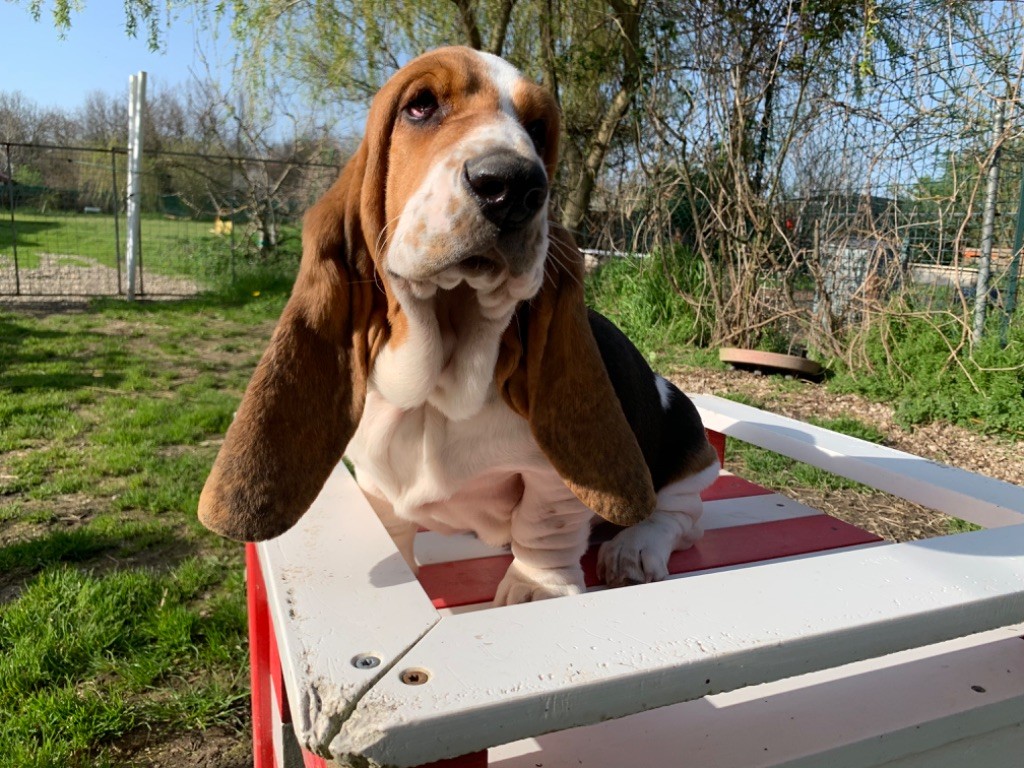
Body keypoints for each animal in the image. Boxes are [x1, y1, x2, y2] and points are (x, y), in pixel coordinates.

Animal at [197, 47, 720, 605]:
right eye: (420, 105)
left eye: (538, 128)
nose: (513, 185)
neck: (436, 390)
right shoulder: (376, 485)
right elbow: (395, 528)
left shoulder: (551, 481)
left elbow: (545, 528)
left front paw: (536, 590)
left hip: (691, 453)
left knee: (681, 516)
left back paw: (634, 549)